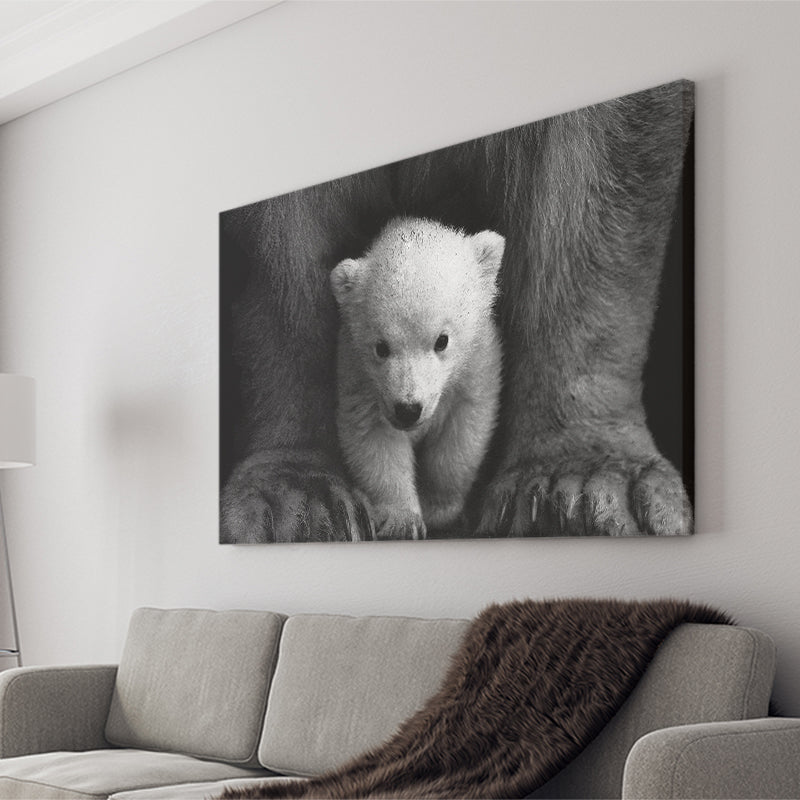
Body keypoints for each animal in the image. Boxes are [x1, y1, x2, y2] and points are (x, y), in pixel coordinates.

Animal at [330, 218, 504, 541]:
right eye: (381, 347)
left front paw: (438, 509)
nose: (408, 409)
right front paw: (402, 520)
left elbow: (461, 434)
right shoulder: (361, 378)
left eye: (442, 340)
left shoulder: (477, 365)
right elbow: (375, 439)